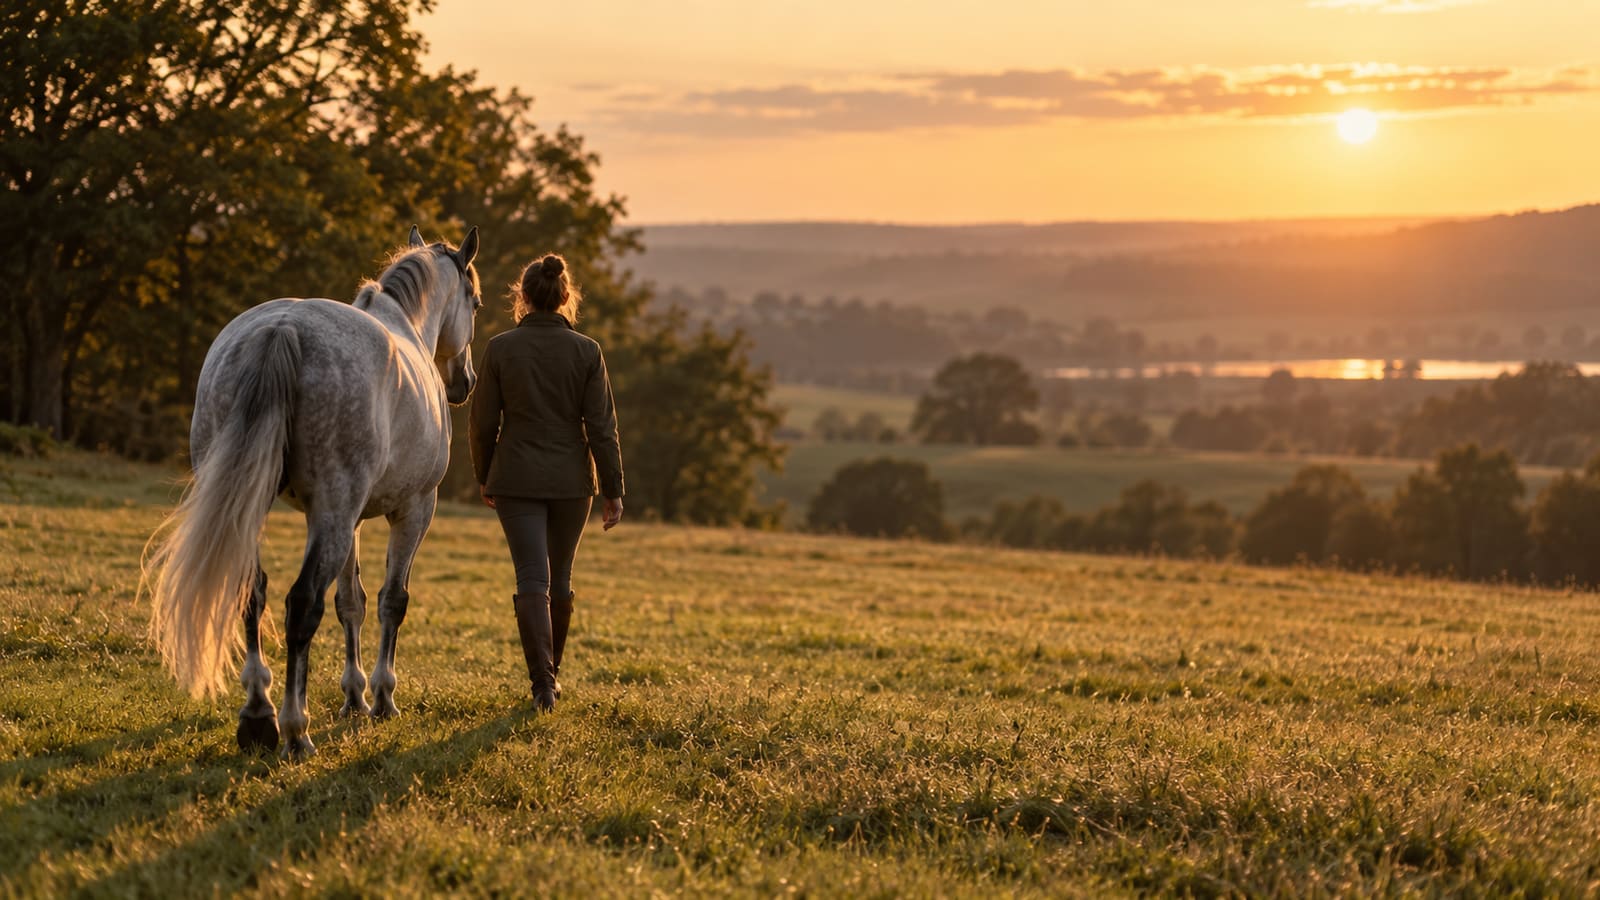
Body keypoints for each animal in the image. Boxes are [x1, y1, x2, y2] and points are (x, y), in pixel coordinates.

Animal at [143, 225, 482, 758]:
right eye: (476, 301)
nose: (464, 382)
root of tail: (281, 329)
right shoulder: (412, 511)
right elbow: (391, 600)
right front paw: (382, 698)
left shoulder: (348, 518)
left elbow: (351, 602)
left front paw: (354, 698)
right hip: (338, 514)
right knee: (302, 604)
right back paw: (294, 729)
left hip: (268, 509)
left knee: (253, 590)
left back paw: (258, 714)